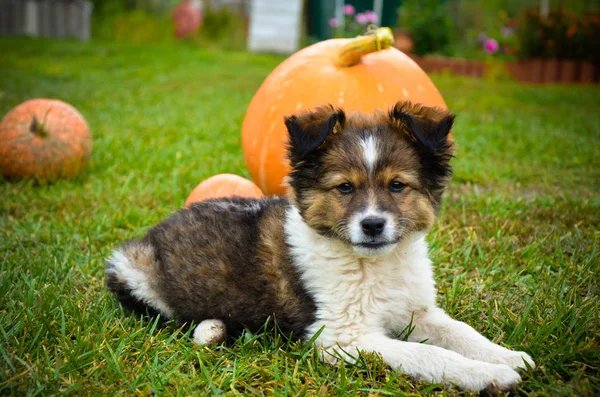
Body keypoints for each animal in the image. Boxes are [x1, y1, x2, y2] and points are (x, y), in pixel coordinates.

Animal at [104, 100, 536, 392]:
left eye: (398, 185)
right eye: (344, 188)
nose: (373, 225)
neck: (373, 265)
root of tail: (158, 227)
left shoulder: (417, 311)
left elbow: (461, 333)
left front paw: (508, 356)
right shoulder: (338, 337)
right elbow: (426, 354)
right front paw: (489, 376)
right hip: (130, 267)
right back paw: (208, 328)